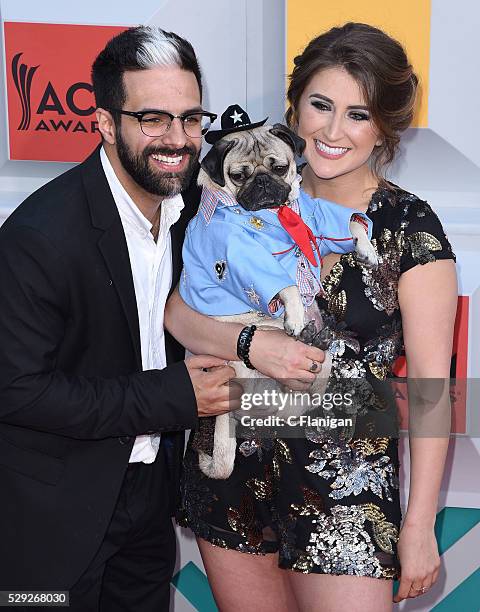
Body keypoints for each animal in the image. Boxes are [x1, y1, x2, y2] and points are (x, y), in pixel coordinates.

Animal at [178, 117, 376, 478]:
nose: (262, 182)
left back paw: (316, 340)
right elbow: (286, 285)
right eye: (238, 176)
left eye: (280, 168)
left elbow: (351, 224)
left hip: (320, 372)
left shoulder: (317, 217)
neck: (275, 214)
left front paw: (367, 249)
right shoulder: (240, 254)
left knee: (306, 392)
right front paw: (295, 313)